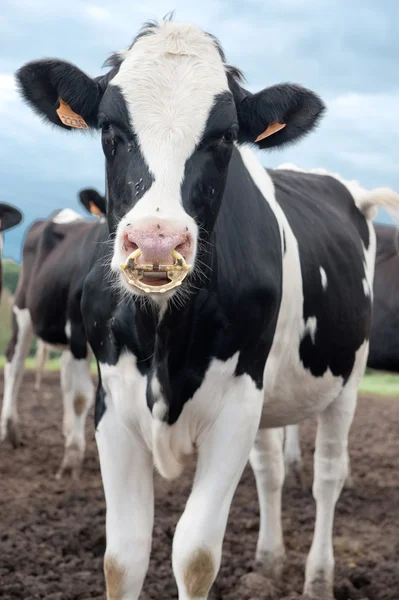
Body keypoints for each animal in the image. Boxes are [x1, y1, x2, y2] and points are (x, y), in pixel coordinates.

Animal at [0, 190, 106, 480]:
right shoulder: (78, 329)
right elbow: (81, 397)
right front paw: (72, 460)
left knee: (65, 377)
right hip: (22, 311)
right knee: (14, 366)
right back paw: (9, 429)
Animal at [15, 18, 399, 600]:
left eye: (223, 138)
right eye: (109, 130)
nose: (155, 244)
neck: (163, 335)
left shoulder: (236, 407)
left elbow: (194, 555)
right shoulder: (114, 407)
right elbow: (122, 559)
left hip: (346, 380)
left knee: (328, 476)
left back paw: (318, 577)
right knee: (270, 470)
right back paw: (268, 561)